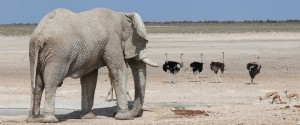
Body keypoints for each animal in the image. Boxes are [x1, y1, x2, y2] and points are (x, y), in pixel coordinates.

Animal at [26, 8, 158, 123]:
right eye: (141, 42)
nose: (113, 113)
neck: (121, 14)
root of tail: (39, 36)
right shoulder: (112, 42)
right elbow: (118, 71)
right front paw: (125, 117)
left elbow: (89, 79)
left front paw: (88, 117)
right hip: (58, 54)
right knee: (51, 83)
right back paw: (50, 120)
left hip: (33, 52)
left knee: (37, 84)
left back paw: (33, 119)